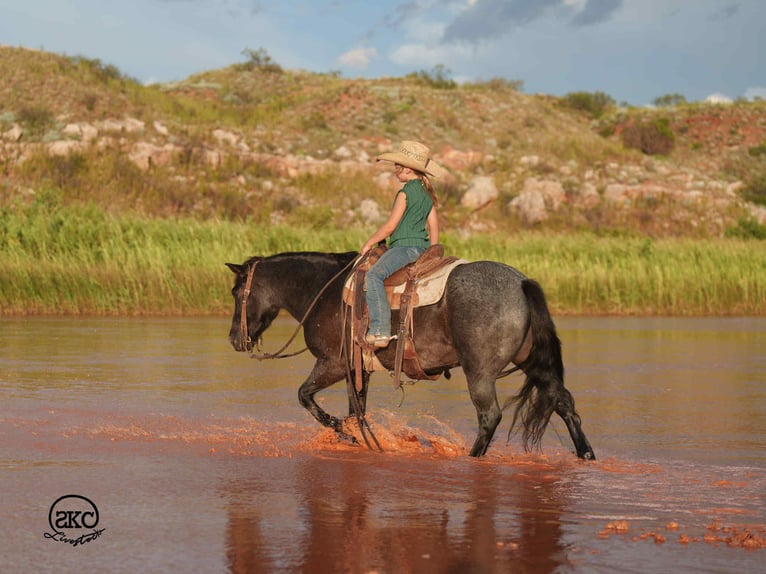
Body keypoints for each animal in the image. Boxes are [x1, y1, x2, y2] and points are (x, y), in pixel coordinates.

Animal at [226, 251, 595, 460]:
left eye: (236, 292)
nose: (233, 339)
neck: (324, 290)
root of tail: (521, 283)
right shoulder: (358, 370)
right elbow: (356, 410)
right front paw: (359, 438)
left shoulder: (332, 363)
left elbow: (305, 397)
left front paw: (347, 435)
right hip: (532, 363)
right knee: (563, 401)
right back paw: (586, 453)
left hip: (479, 373)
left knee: (490, 416)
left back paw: (473, 456)